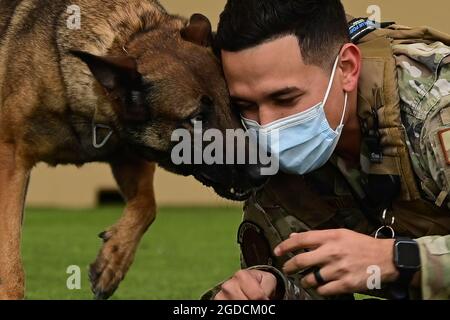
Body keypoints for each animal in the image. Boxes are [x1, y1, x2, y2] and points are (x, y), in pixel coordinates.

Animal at [0, 0, 266, 300]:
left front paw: (113, 260)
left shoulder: (129, 155)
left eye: (235, 106)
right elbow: (10, 257)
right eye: (197, 118)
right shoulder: (11, 160)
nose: (263, 172)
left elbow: (147, 205)